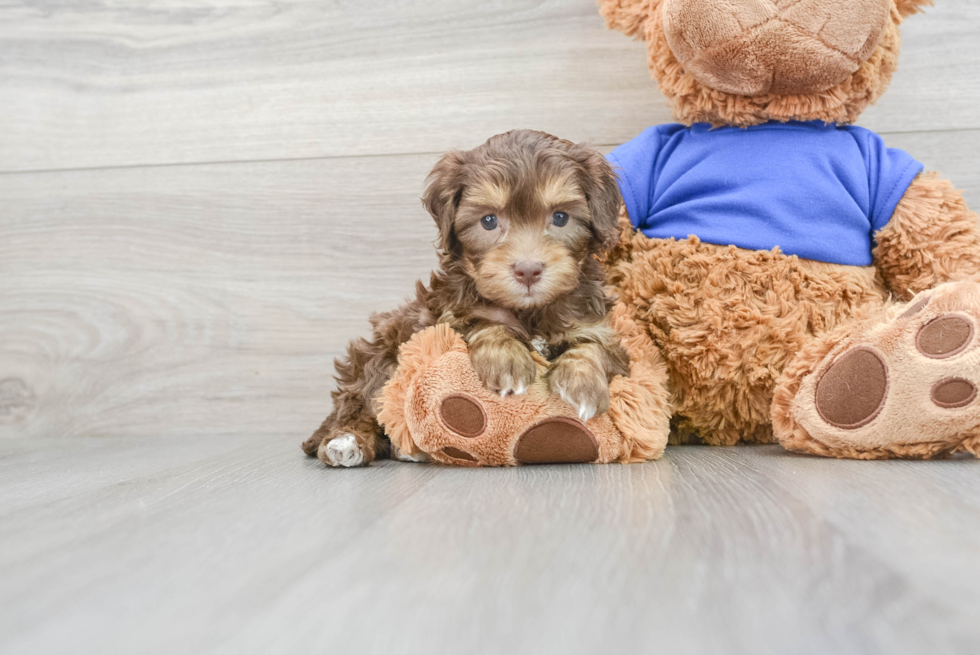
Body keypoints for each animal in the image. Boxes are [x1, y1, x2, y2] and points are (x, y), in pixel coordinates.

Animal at [302, 129, 632, 466]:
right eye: (488, 221)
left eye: (561, 217)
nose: (528, 270)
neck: (529, 311)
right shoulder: (447, 315)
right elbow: (486, 322)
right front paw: (507, 361)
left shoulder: (595, 325)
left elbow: (594, 346)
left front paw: (582, 383)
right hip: (380, 354)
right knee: (361, 401)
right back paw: (346, 441)